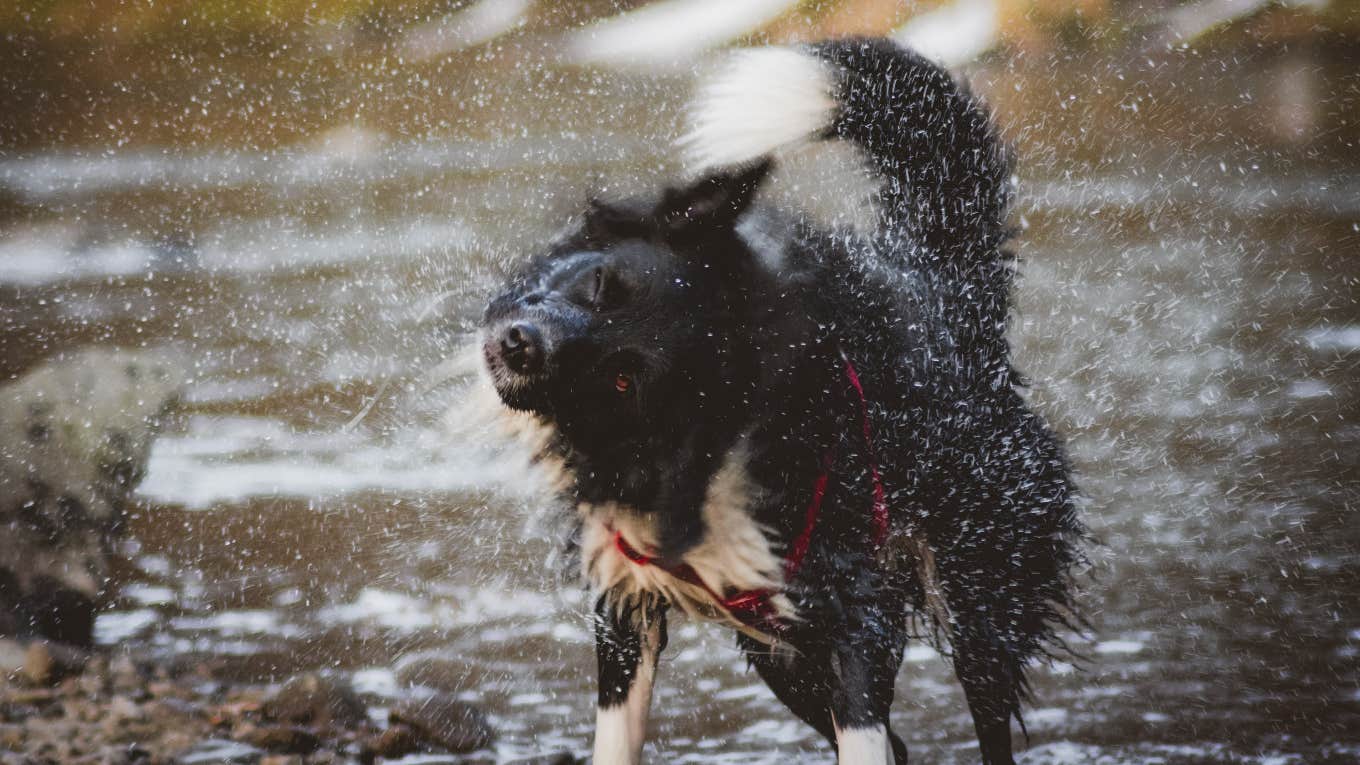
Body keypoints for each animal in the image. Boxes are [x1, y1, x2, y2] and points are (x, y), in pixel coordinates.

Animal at [478, 37, 1082, 762]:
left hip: (980, 595)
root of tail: (949, 290)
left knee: (986, 712)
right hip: (782, 652)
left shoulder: (861, 613)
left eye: (625, 377)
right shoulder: (627, 606)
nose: (519, 345)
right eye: (599, 282)